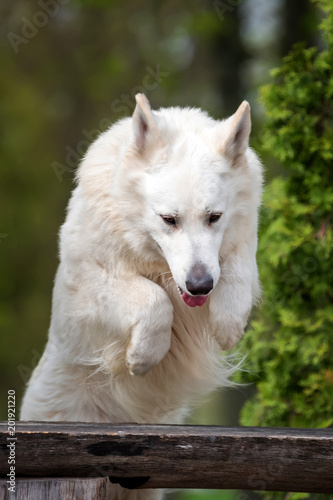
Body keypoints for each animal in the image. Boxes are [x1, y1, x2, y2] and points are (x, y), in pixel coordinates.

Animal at [20, 94, 262, 500]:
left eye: (214, 217)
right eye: (169, 220)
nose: (199, 287)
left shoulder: (240, 247)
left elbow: (237, 275)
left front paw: (228, 326)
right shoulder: (89, 284)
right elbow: (154, 299)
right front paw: (142, 357)